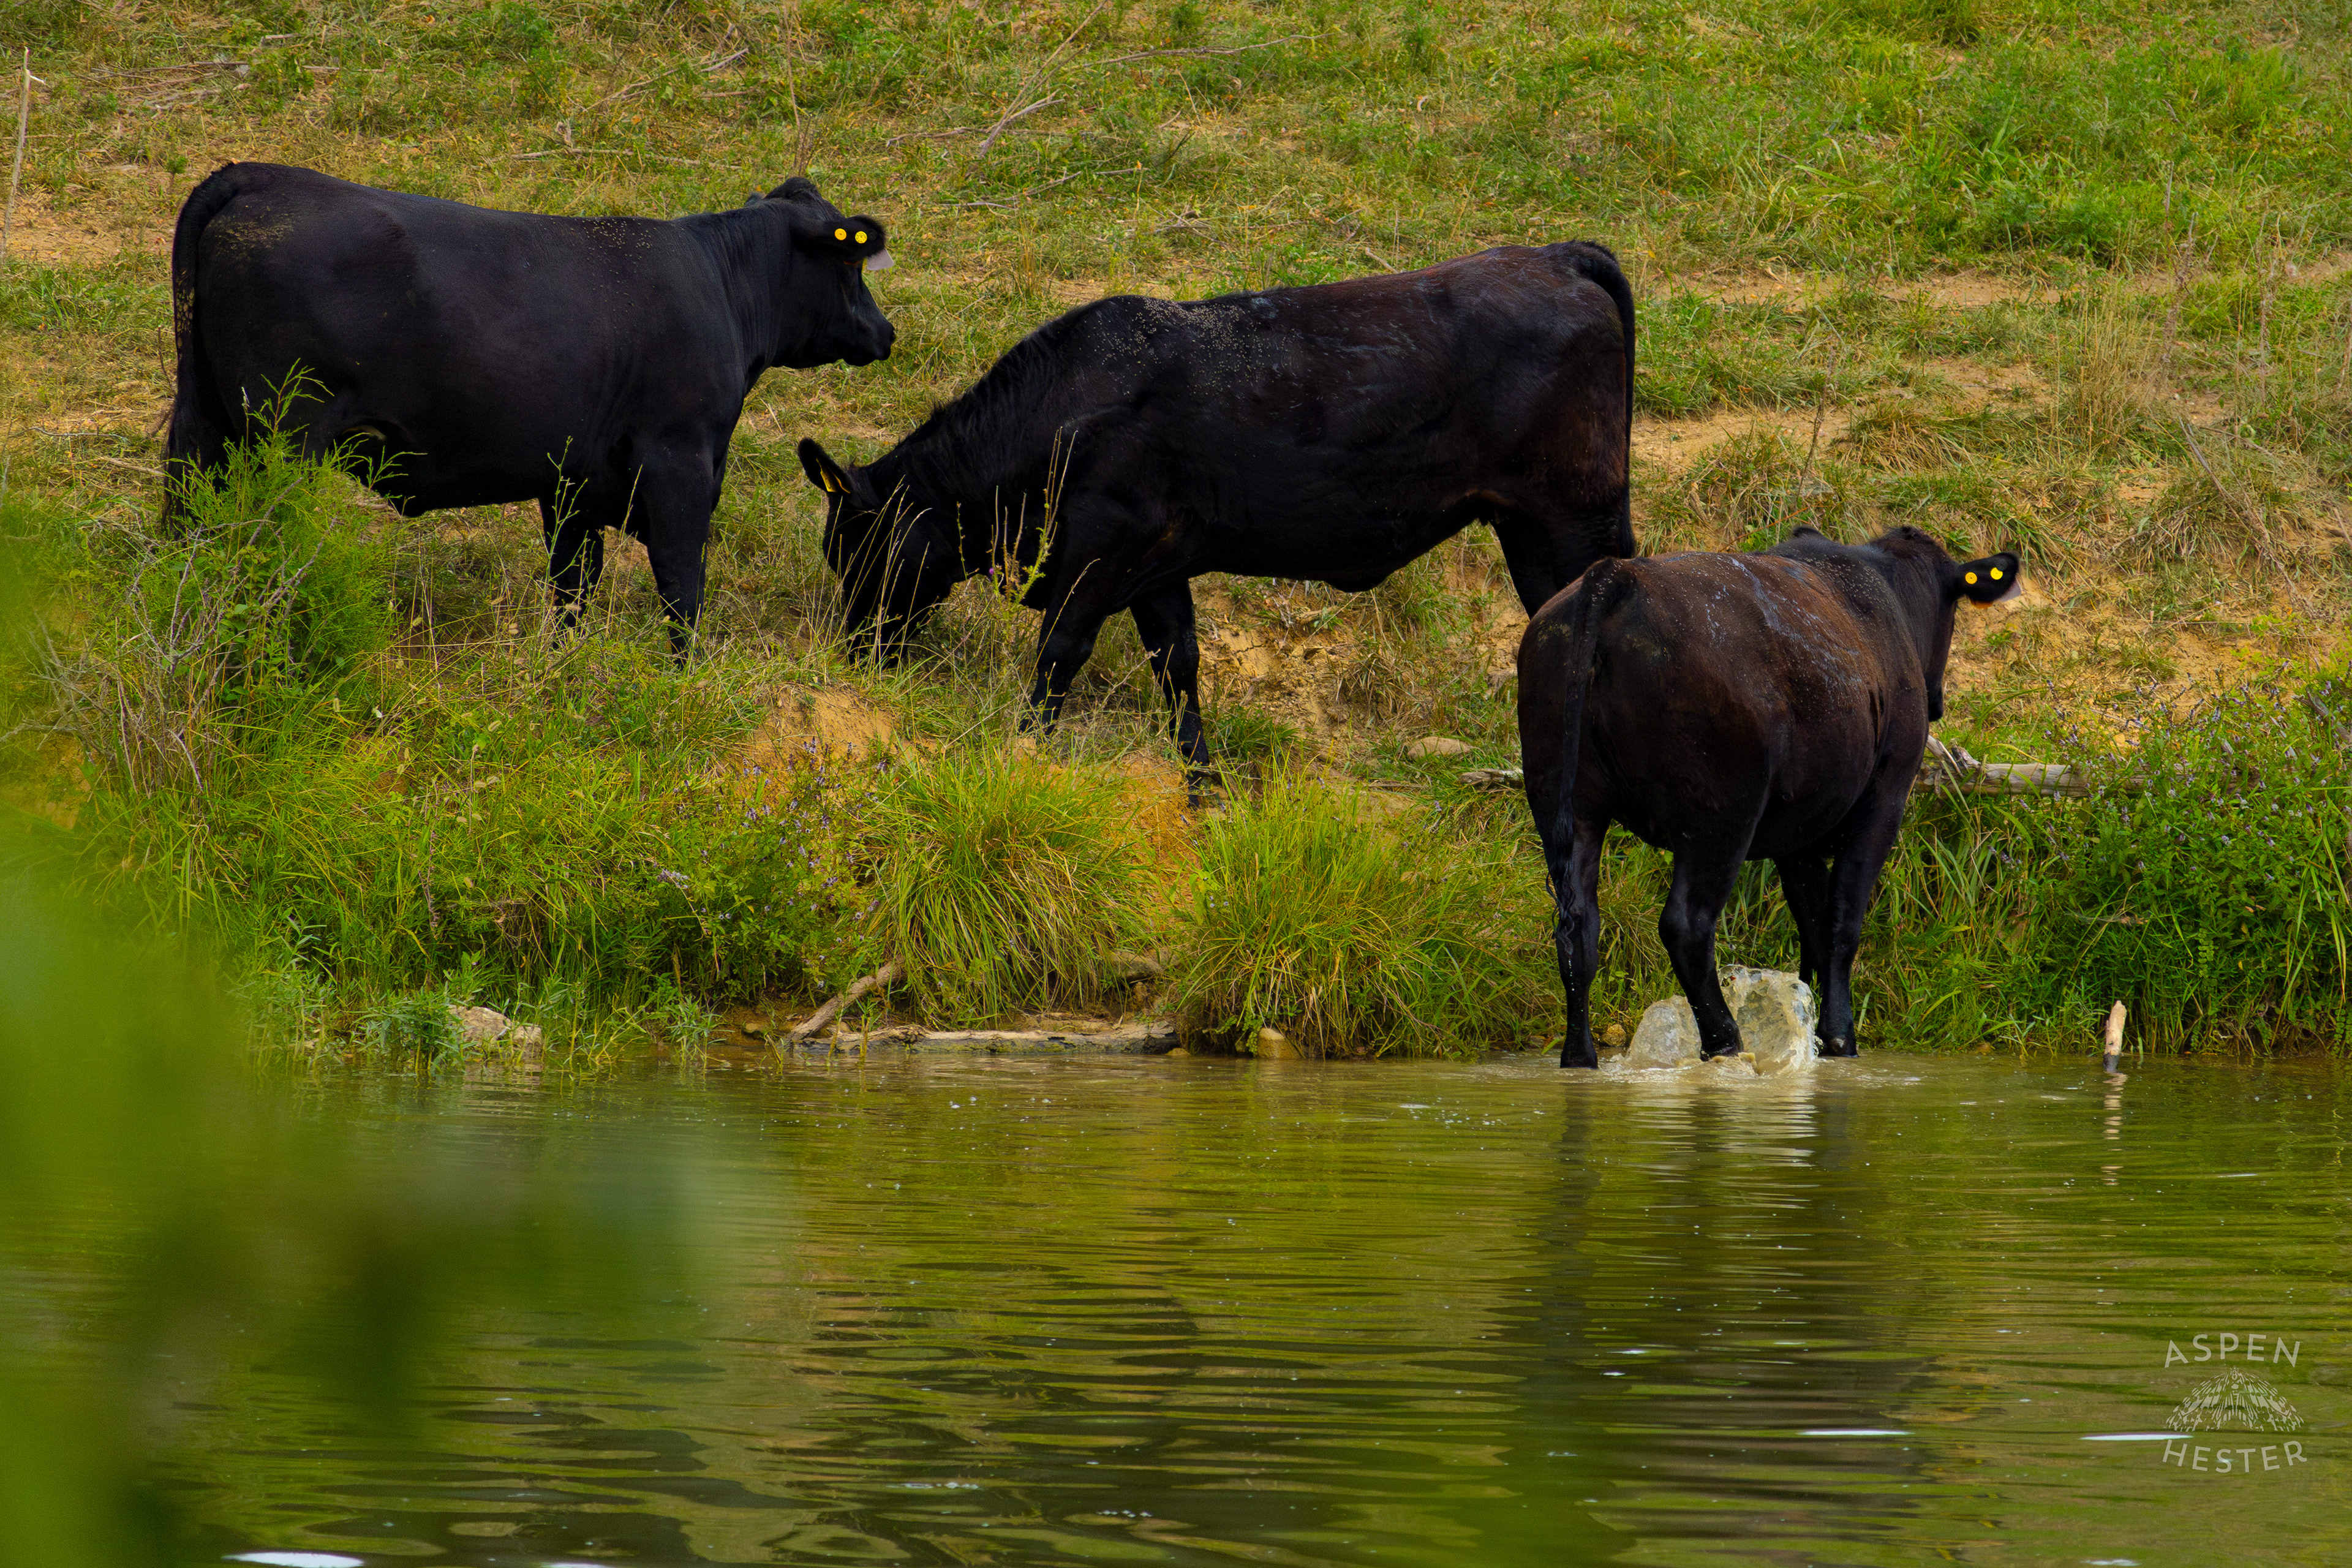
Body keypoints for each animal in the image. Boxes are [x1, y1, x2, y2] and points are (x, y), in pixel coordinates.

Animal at [164, 162, 897, 654]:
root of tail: (263, 178)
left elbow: (573, 585)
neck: (719, 283)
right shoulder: (680, 461)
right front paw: (685, 675)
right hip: (280, 438)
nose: (885, 332)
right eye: (850, 264)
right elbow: (681, 582)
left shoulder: (574, 481)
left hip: (204, 426)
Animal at [795, 242, 1636, 777]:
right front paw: (1202, 783)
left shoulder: (1102, 542)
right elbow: (1179, 666)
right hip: (1529, 528)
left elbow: (1060, 647)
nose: (856, 651)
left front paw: (1025, 743)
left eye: (859, 548)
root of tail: (1555, 256)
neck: (1059, 411)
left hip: (1572, 519)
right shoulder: (1157, 563)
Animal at [1516, 526, 2021, 1068]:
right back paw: (1727, 1043)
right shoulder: (1884, 801)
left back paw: (1580, 1056)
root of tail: (1618, 575)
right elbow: (1842, 922)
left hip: (1565, 801)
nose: (1938, 698)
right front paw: (1839, 1039)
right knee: (1686, 926)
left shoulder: (1797, 833)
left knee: (1578, 929)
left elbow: (1813, 922)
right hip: (1719, 816)